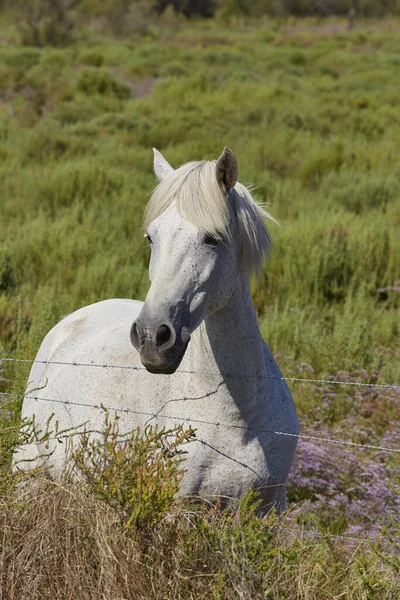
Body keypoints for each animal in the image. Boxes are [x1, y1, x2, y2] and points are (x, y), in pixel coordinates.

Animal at [16, 148, 300, 512]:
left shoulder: (271, 507)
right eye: (151, 237)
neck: (240, 414)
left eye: (213, 238)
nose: (152, 337)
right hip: (25, 470)